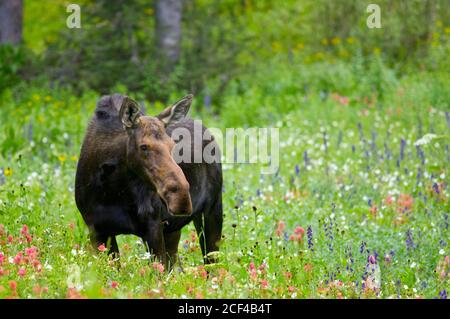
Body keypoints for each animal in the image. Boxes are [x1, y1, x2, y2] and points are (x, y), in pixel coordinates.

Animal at [75, 94, 223, 268]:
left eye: (172, 144)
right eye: (144, 146)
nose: (181, 198)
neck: (112, 190)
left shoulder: (153, 227)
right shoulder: (97, 231)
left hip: (213, 209)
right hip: (173, 230)